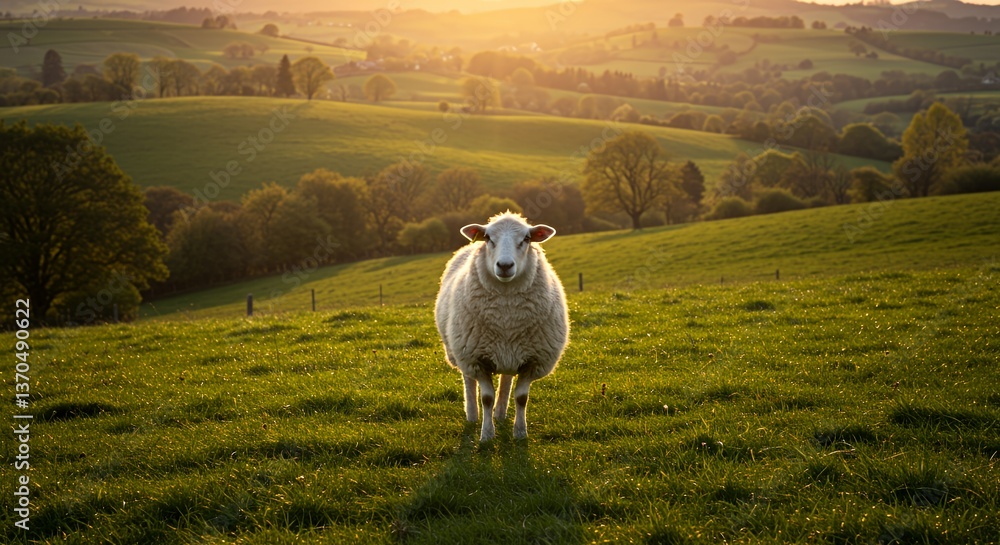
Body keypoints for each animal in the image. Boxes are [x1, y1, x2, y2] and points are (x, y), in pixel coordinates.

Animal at [434, 211, 569, 442]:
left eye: (526, 238)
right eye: (488, 238)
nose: (505, 266)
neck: (506, 318)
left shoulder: (533, 361)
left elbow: (522, 398)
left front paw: (520, 433)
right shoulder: (476, 360)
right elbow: (486, 398)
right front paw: (487, 435)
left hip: (511, 352)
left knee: (506, 379)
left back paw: (501, 413)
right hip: (460, 350)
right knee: (468, 380)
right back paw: (472, 415)